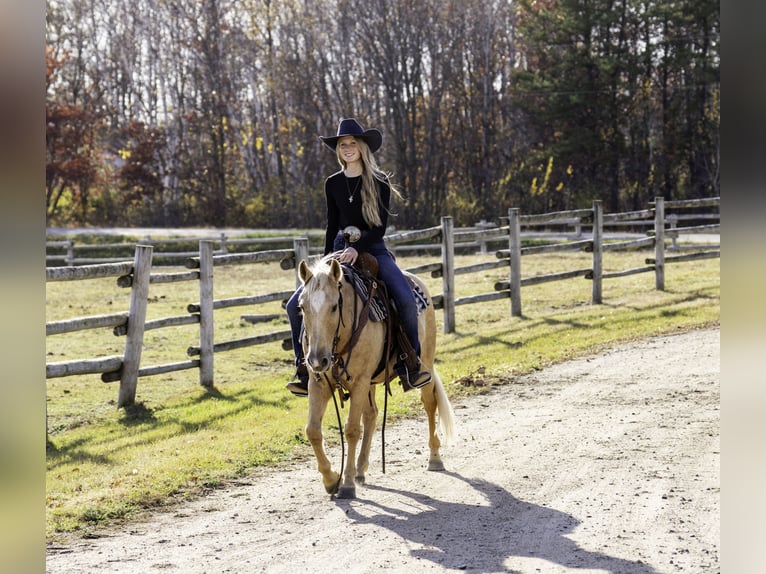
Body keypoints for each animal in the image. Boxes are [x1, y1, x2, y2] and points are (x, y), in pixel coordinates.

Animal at [298, 256, 456, 500]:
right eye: (302, 307)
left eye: (334, 306)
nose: (317, 360)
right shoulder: (319, 382)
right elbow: (313, 431)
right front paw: (331, 479)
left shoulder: (360, 382)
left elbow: (352, 430)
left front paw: (346, 484)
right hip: (369, 383)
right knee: (371, 416)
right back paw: (361, 470)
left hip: (425, 363)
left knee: (430, 404)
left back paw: (435, 458)